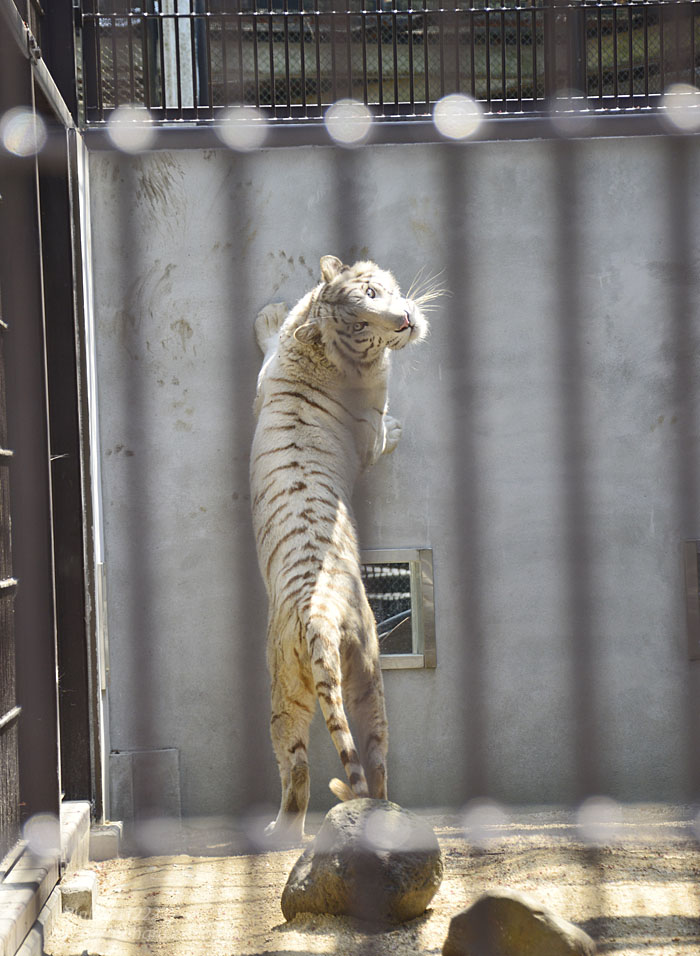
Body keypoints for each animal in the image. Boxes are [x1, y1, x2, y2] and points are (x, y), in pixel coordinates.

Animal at [246, 254, 432, 844]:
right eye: (363, 326)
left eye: (373, 294)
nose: (404, 320)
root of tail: (318, 617)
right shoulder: (365, 433)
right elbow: (383, 434)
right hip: (335, 685)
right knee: (342, 765)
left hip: (327, 684)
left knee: (335, 765)